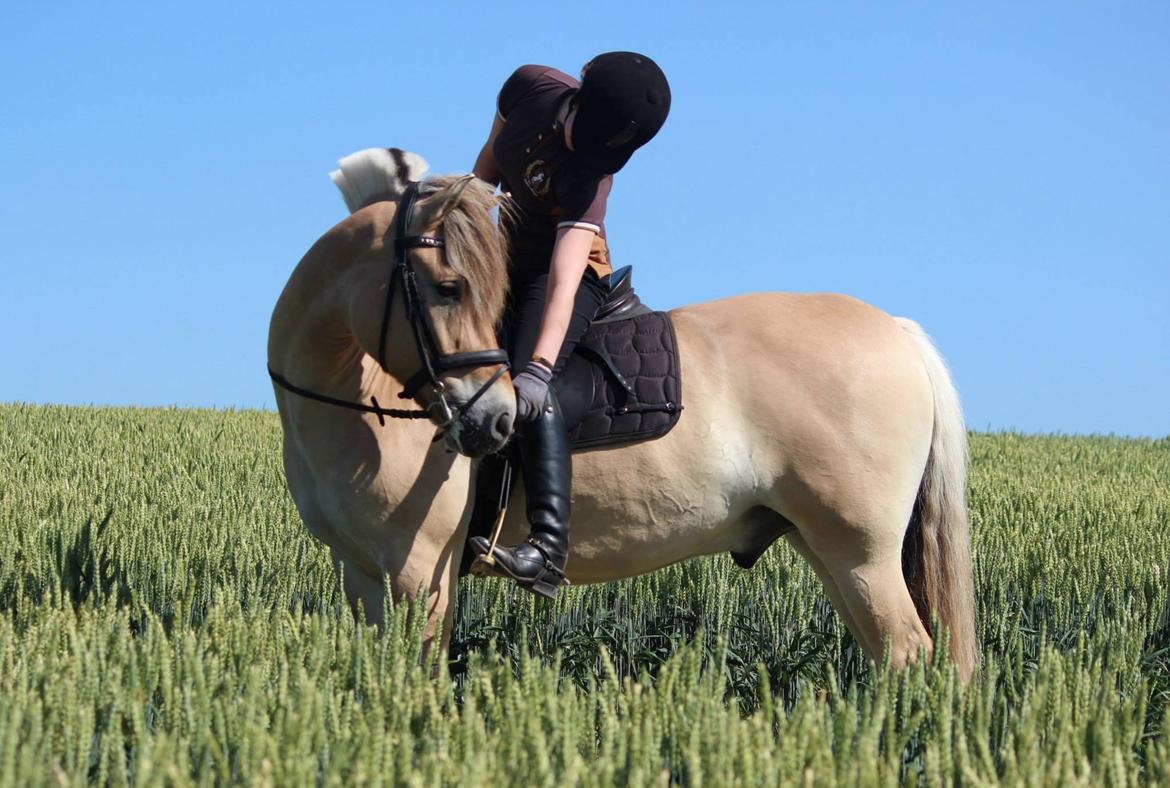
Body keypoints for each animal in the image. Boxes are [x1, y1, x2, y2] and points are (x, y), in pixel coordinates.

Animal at [267, 150, 978, 678]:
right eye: (449, 287)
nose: (496, 421)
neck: (357, 395)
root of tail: (896, 330)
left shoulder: (422, 576)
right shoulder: (363, 576)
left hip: (862, 555)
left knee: (910, 655)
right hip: (830, 551)